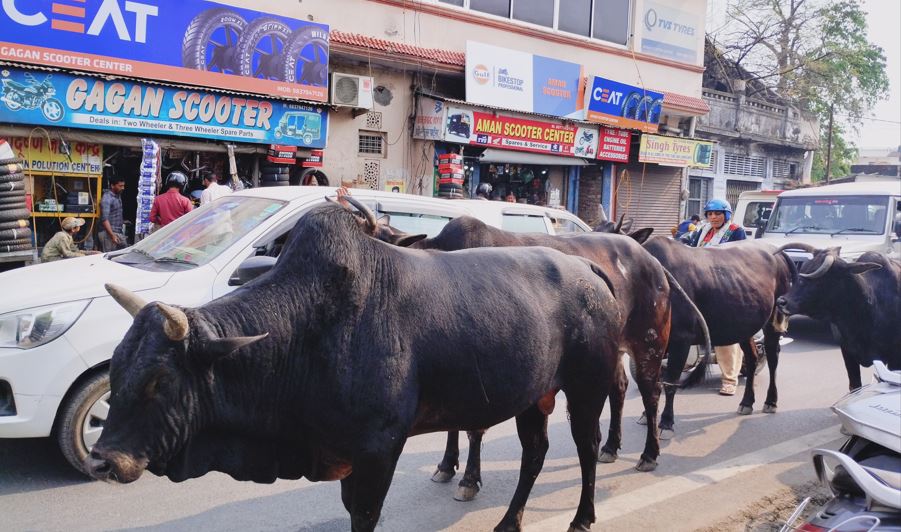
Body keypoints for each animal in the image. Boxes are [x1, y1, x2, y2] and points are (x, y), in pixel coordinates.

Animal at [88, 201, 628, 532]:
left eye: (160, 381)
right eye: (116, 371)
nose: (103, 461)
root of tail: (590, 269)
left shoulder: (377, 449)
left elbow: (364, 515)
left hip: (587, 388)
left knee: (586, 446)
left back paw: (582, 517)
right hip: (534, 397)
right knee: (535, 454)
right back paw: (510, 520)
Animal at [376, 213, 708, 502]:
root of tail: (651, 260)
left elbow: (474, 429)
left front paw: (469, 480)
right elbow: (454, 425)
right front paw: (446, 465)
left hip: (649, 342)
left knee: (651, 393)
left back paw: (649, 453)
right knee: (620, 388)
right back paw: (611, 446)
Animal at [640, 235, 796, 434]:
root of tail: (778, 252)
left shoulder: (681, 340)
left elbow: (671, 381)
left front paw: (666, 421)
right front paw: (646, 415)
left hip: (773, 321)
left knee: (772, 356)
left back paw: (771, 401)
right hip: (743, 325)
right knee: (752, 358)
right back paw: (747, 402)